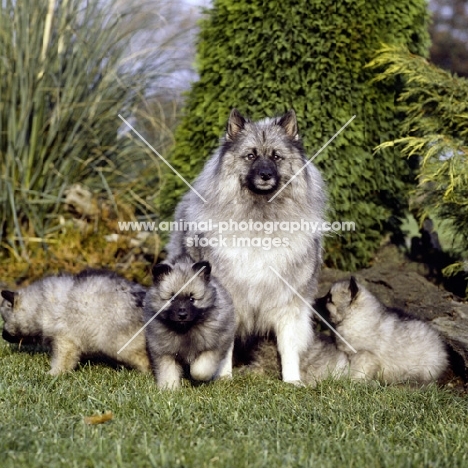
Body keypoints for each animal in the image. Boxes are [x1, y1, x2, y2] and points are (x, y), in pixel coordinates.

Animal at [0, 268, 149, 374]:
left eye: (5, 318)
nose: (3, 336)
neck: (39, 305)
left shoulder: (65, 340)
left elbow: (63, 360)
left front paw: (53, 374)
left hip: (120, 344)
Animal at [144, 258, 236, 390]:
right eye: (172, 299)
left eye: (192, 299)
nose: (182, 314)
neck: (185, 329)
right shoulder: (164, 352)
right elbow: (168, 372)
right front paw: (169, 389)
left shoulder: (213, 347)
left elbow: (200, 369)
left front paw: (197, 377)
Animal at [167, 109, 326, 384]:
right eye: (251, 156)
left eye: (276, 156)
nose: (265, 175)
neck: (260, 218)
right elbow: (224, 345)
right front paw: (224, 377)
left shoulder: (289, 303)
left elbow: (288, 346)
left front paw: (292, 381)